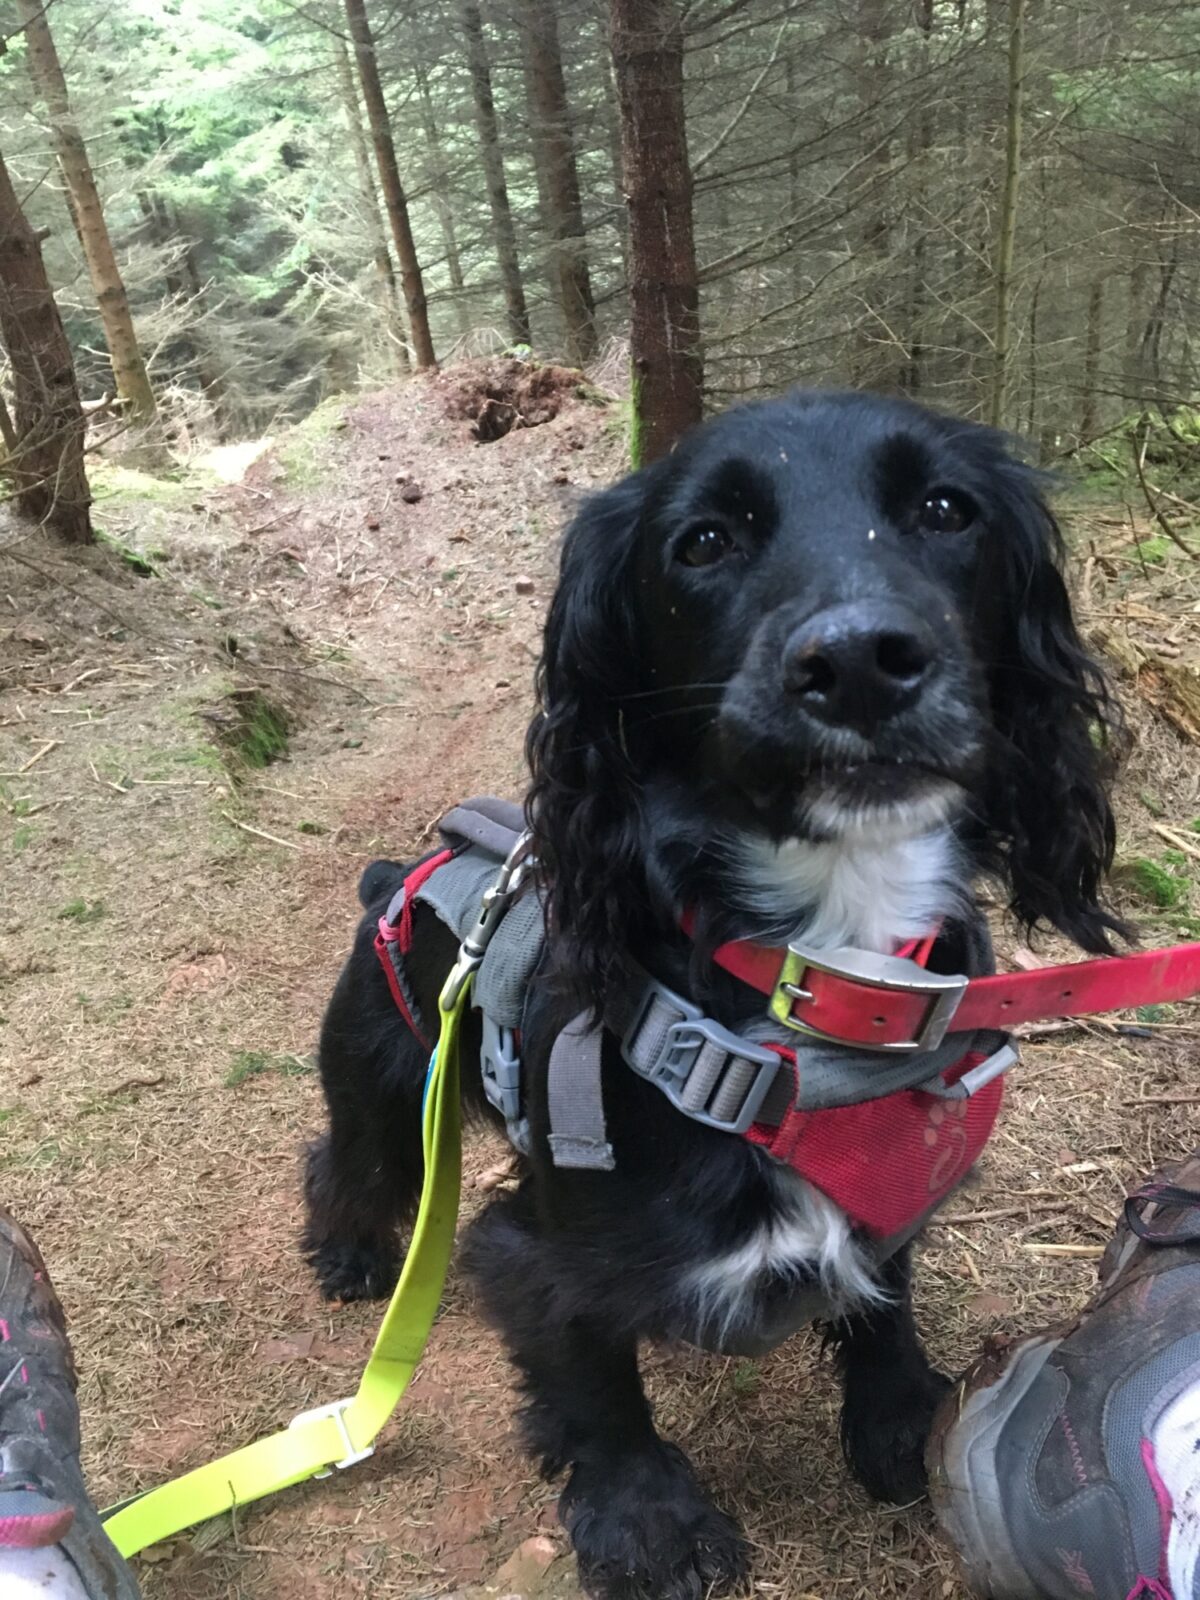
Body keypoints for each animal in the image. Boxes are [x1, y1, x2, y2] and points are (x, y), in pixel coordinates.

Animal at [302, 390, 1126, 1600]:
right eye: (702, 543)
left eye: (945, 510)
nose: (860, 661)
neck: (814, 991)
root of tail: (397, 876)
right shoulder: (537, 1250)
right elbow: (596, 1384)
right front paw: (649, 1523)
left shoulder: (887, 1198)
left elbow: (883, 1299)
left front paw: (898, 1419)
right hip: (386, 1078)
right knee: (347, 1159)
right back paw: (353, 1253)